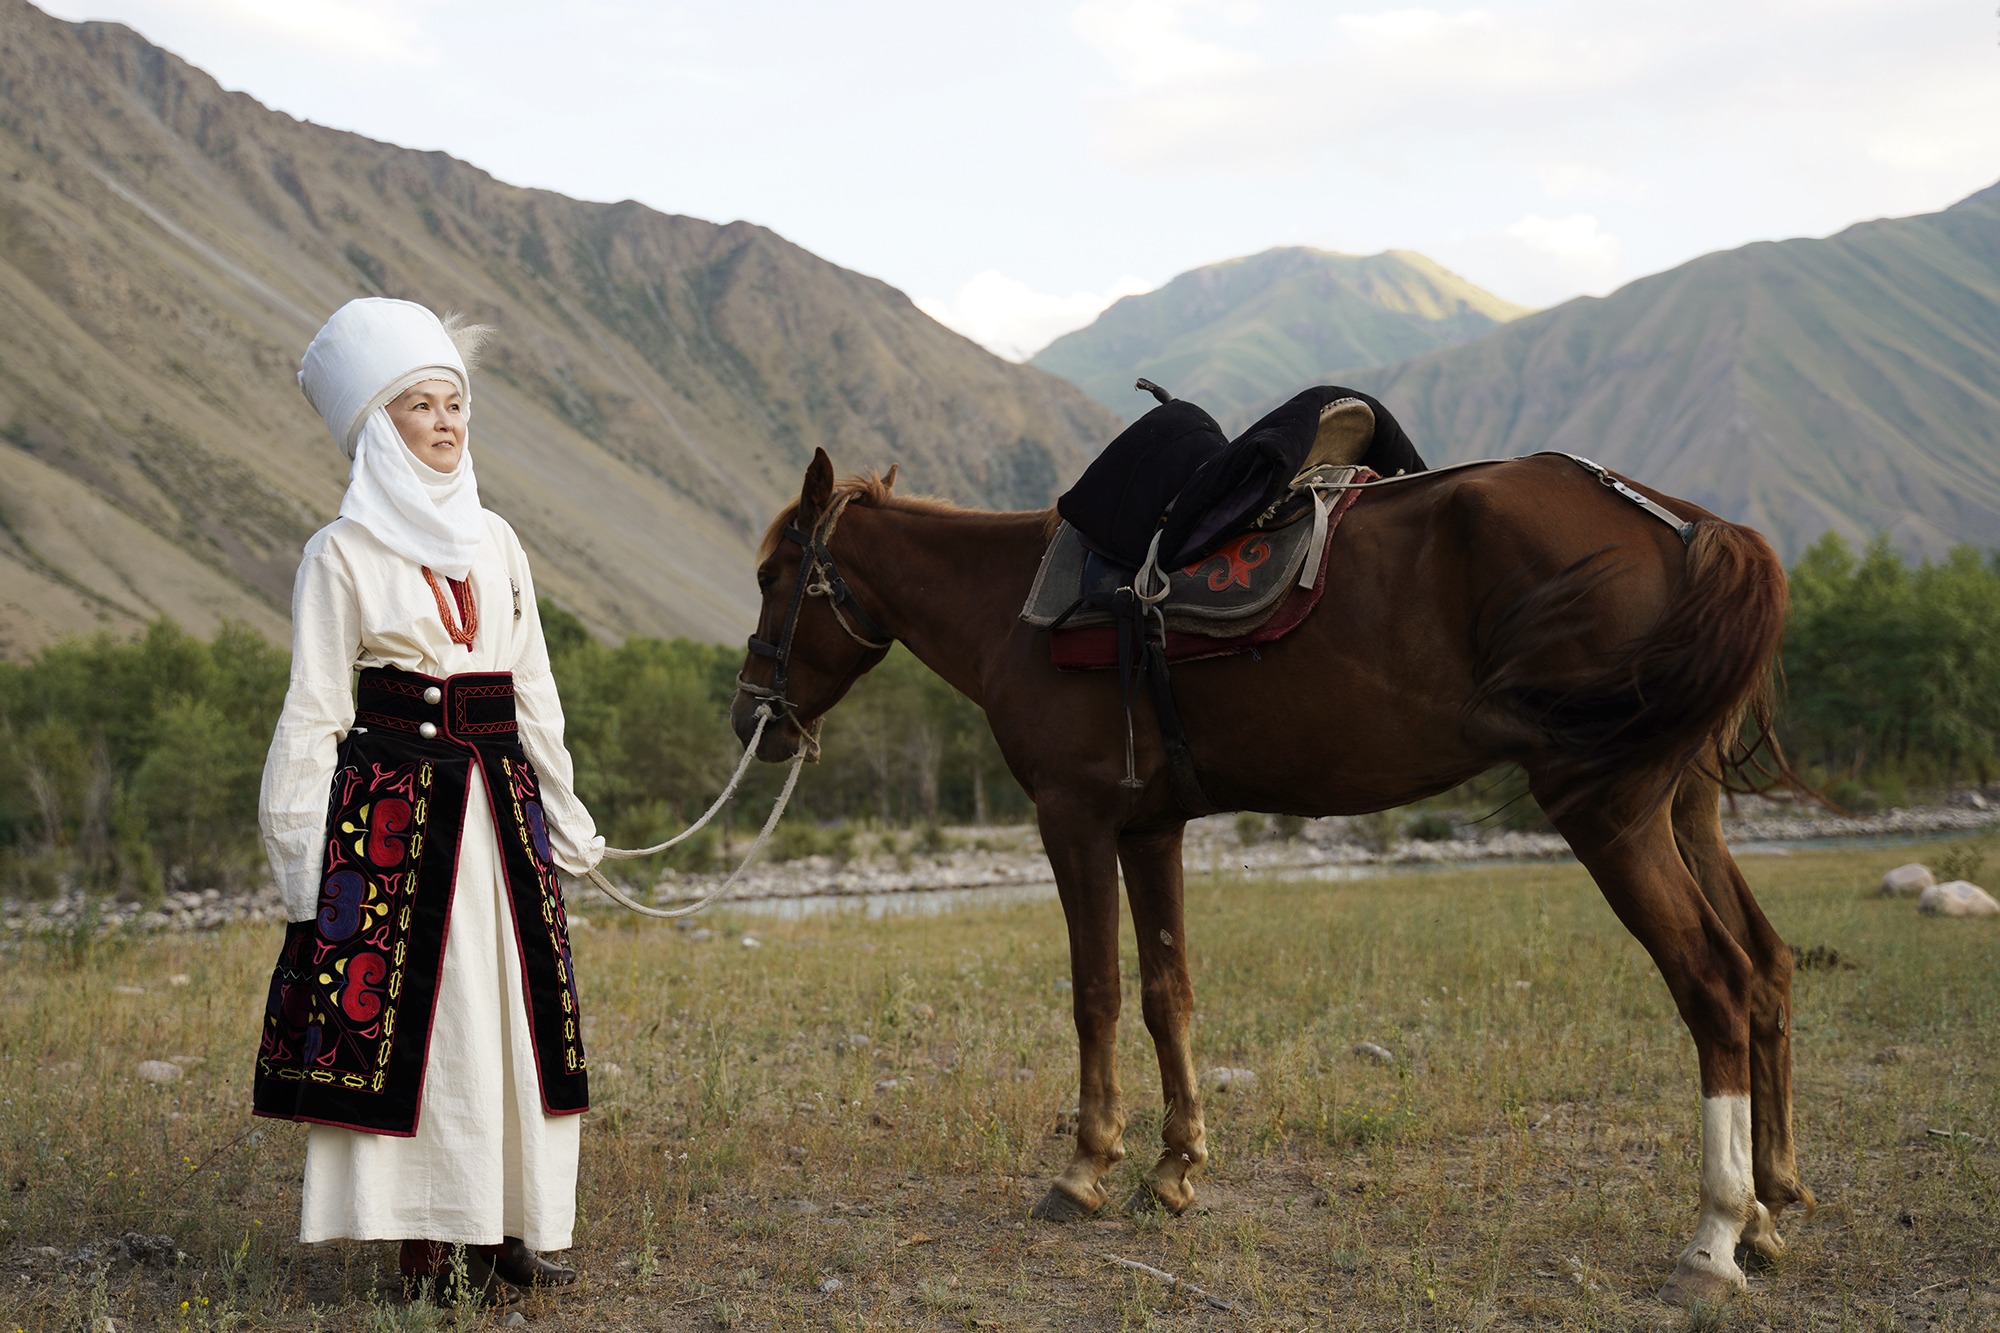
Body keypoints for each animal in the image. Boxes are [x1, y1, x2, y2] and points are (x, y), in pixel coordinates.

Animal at [732, 444, 1816, 1296]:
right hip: (1683, 807)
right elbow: (1166, 990)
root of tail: (1684, 523)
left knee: (1714, 983)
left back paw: (1714, 1235)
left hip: (1607, 809)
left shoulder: (1073, 819)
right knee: (1766, 968)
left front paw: (1085, 1166)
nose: (751, 715)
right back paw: (1767, 1210)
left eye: (774, 572)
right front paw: (1174, 1166)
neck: (1016, 606)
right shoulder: (1150, 827)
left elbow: (1096, 992)